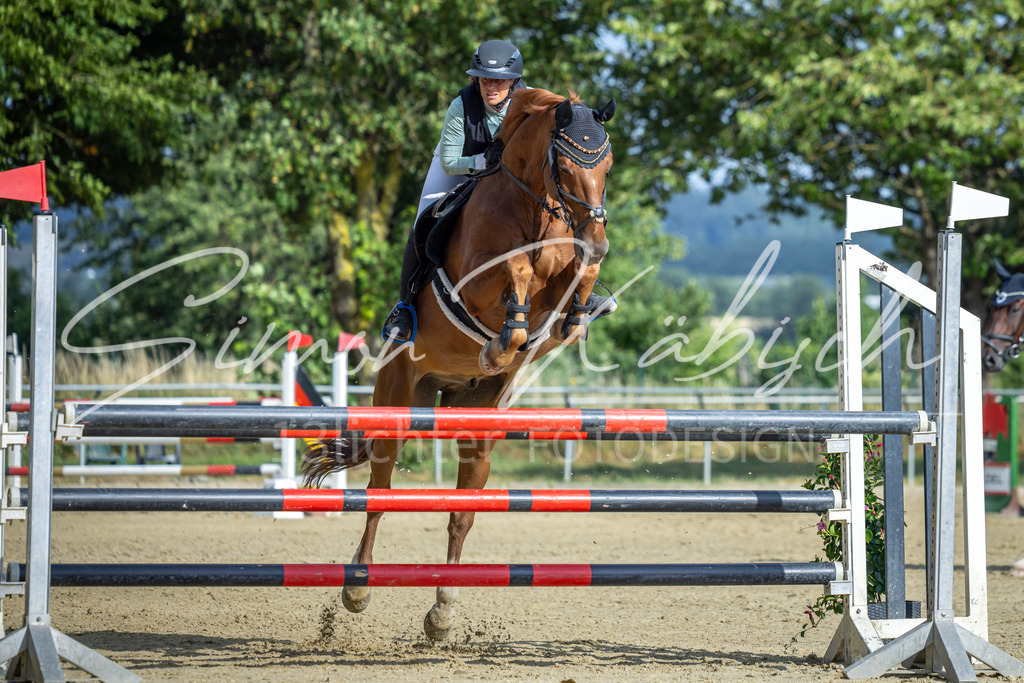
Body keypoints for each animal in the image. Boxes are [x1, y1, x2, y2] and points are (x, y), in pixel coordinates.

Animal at [301, 88, 616, 640]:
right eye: (564, 165)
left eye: (608, 164)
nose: (598, 241)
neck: (533, 207)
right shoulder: (478, 281)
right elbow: (515, 269)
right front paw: (499, 344)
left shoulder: (563, 271)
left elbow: (574, 276)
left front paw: (576, 310)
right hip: (396, 402)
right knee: (378, 492)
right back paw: (357, 588)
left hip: (479, 424)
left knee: (461, 513)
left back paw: (443, 611)